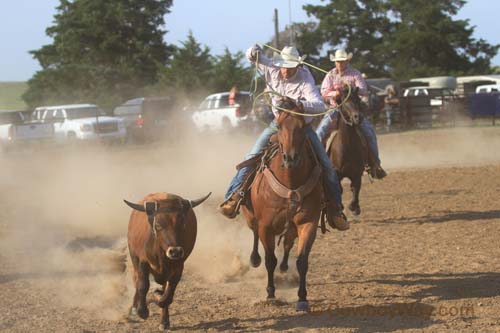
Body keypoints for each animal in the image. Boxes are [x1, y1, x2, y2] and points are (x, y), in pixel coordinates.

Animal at [243, 97, 324, 310]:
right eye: (278, 125)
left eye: (303, 126)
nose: (290, 158)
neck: (290, 184)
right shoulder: (266, 226)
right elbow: (270, 260)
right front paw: (270, 293)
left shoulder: (307, 223)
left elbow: (302, 261)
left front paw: (302, 298)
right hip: (251, 216)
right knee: (254, 233)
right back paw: (254, 259)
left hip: (291, 227)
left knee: (287, 244)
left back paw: (285, 266)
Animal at [328, 86, 368, 215]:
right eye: (344, 102)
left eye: (358, 99)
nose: (358, 117)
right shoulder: (336, 174)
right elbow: (339, 189)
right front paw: (340, 207)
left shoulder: (357, 173)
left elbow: (355, 188)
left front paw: (354, 207)